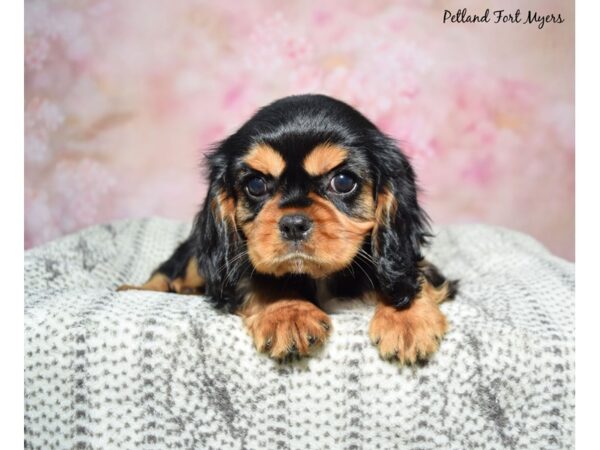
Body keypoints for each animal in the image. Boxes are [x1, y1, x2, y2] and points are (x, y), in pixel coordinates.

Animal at [119, 94, 458, 362]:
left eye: (343, 181)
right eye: (255, 185)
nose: (294, 224)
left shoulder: (412, 262)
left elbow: (410, 278)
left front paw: (406, 320)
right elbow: (266, 280)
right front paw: (289, 313)